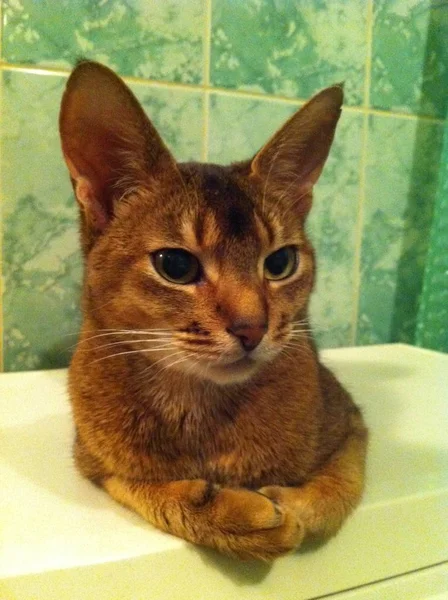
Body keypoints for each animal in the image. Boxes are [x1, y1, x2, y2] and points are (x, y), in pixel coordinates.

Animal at [58, 62, 368, 564]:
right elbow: (141, 485)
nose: (252, 328)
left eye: (281, 263)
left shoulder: (351, 425)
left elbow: (339, 487)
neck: (200, 408)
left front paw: (293, 507)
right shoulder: (91, 459)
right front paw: (235, 515)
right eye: (176, 265)